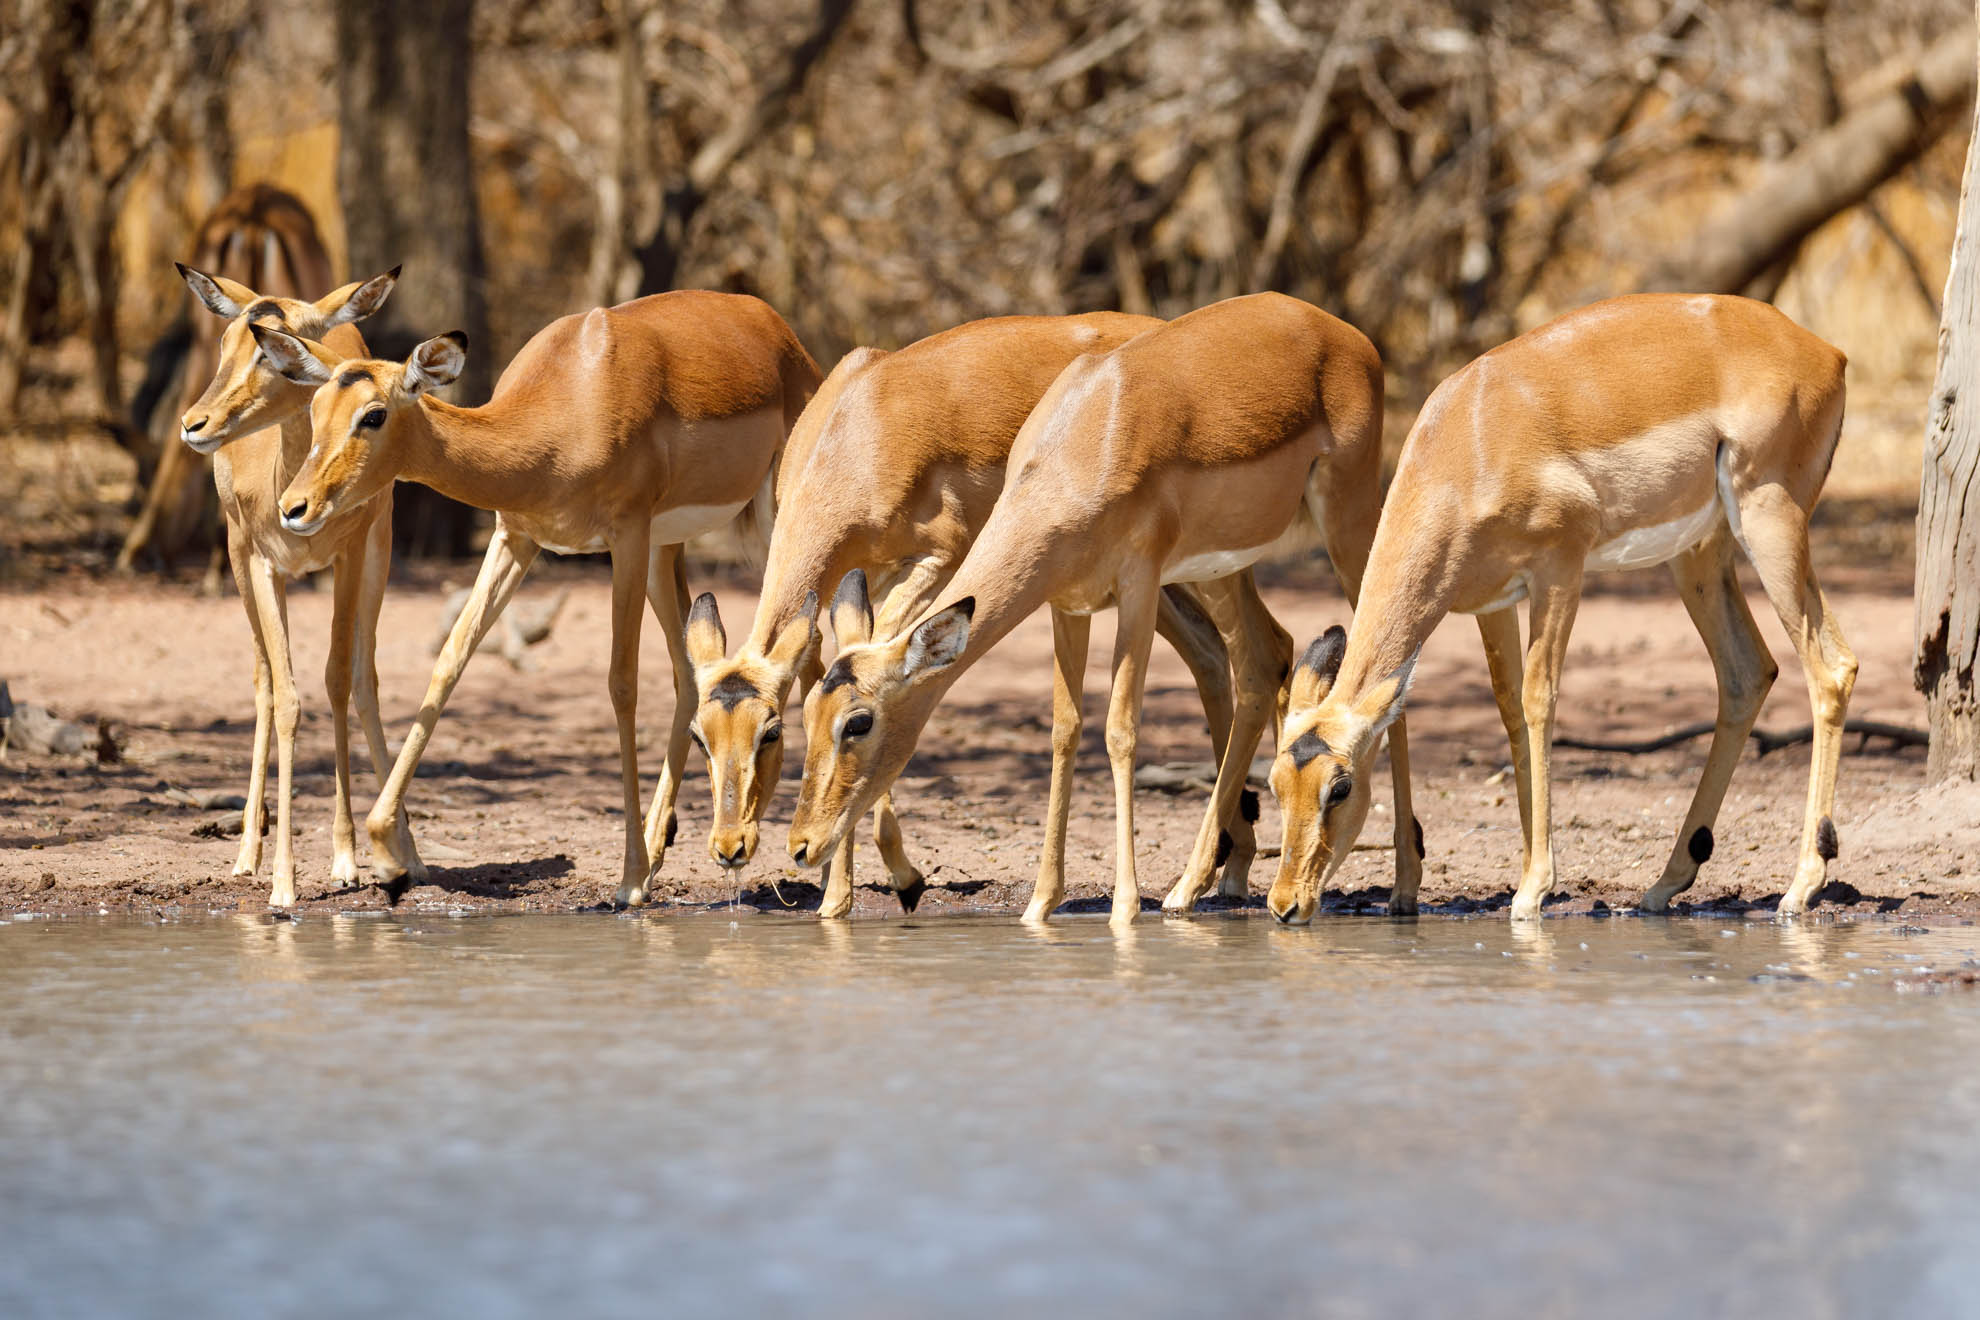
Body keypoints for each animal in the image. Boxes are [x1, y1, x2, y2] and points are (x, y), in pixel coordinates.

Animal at [163, 256, 415, 907]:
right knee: (263, 681)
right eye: (226, 341)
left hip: (377, 554)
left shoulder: (350, 556)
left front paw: (348, 859)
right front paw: (282, 882)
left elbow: (336, 684)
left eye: (271, 352)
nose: (193, 424)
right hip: (237, 563)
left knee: (364, 677)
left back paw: (403, 848)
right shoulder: (260, 564)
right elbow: (287, 698)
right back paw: (246, 854)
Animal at [252, 291, 820, 905]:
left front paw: (627, 883)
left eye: (373, 414)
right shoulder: (516, 537)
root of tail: (780, 332)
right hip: (666, 550)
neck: (573, 398)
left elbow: (621, 683)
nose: (294, 507)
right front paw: (387, 857)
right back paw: (659, 849)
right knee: (689, 674)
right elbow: (450, 660)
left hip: (767, 525)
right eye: (315, 410)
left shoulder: (625, 536)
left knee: (810, 650)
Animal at [680, 313, 1270, 918]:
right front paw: (847, 891)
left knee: (1261, 650)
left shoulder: (938, 559)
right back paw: (1228, 866)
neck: (861, 429)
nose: (729, 846)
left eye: (770, 732)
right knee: (1213, 652)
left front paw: (883, 882)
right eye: (700, 735)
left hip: (1198, 565)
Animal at [785, 293, 1411, 925]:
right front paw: (1040, 905)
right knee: (1265, 661)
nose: (802, 845)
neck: (1085, 446)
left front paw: (1124, 909)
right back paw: (1203, 885)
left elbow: (1120, 729)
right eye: (806, 712)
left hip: (1346, 528)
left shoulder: (1137, 587)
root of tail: (1335, 328)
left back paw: (1399, 888)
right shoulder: (1068, 604)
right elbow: (1066, 731)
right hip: (1224, 568)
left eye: (858, 721)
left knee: (1380, 669)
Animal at [1265, 294, 1855, 925]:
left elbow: (1539, 698)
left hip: (1770, 522)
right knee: (1748, 672)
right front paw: (1526, 873)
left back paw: (1800, 887)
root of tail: (1827, 353)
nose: (1284, 904)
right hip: (1699, 556)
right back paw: (1663, 886)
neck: (1471, 437)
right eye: (1274, 783)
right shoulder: (1490, 601)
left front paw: (1532, 891)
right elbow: (1509, 709)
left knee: (1831, 669)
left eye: (1340, 787)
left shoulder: (1559, 571)